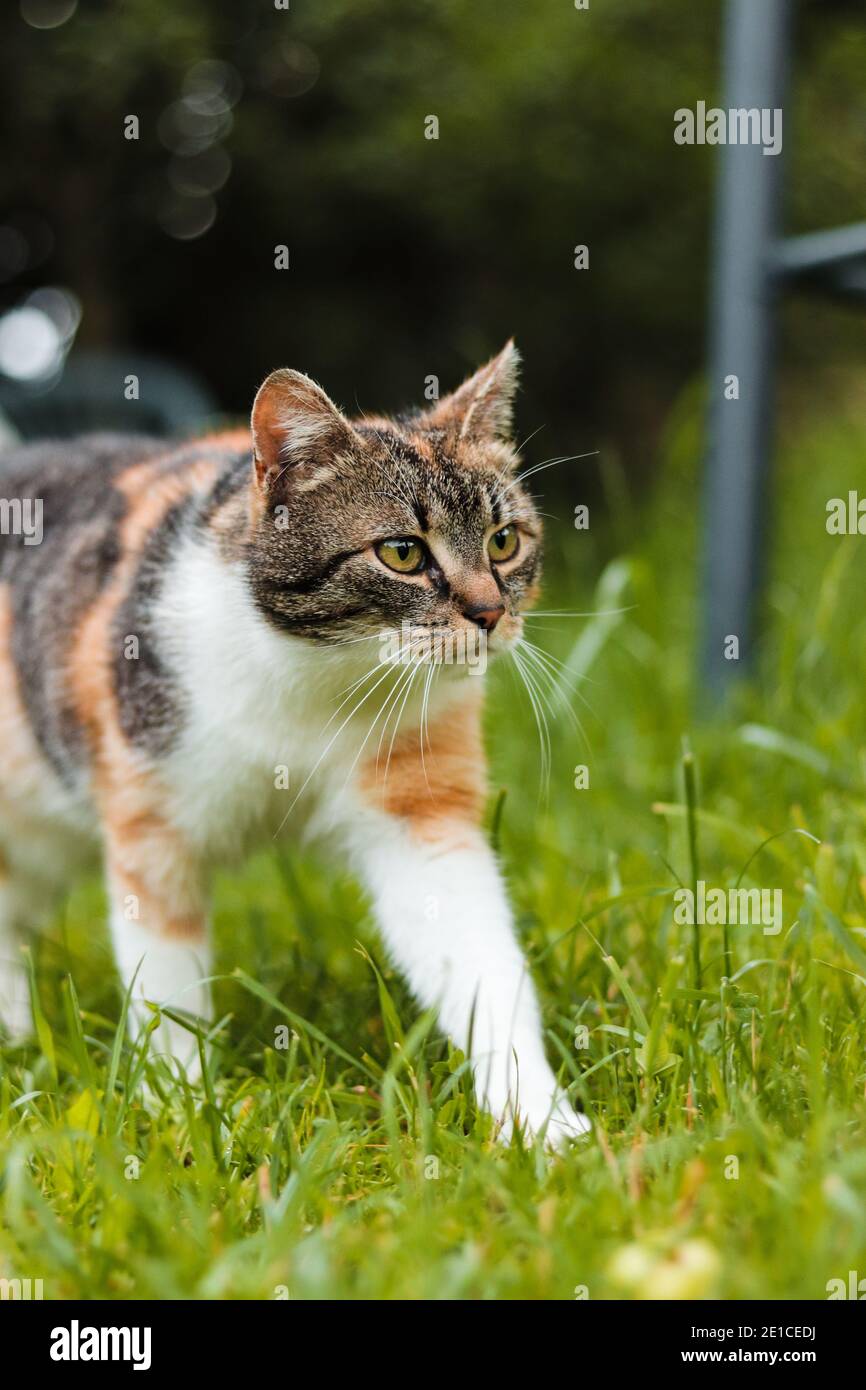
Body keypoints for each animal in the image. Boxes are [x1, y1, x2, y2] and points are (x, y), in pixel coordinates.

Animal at [0, 341, 589, 1145]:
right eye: (402, 553)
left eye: (505, 541)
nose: (491, 613)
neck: (316, 682)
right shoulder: (153, 823)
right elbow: (168, 986)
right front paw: (185, 1111)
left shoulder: (420, 813)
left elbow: (478, 958)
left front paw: (535, 1115)